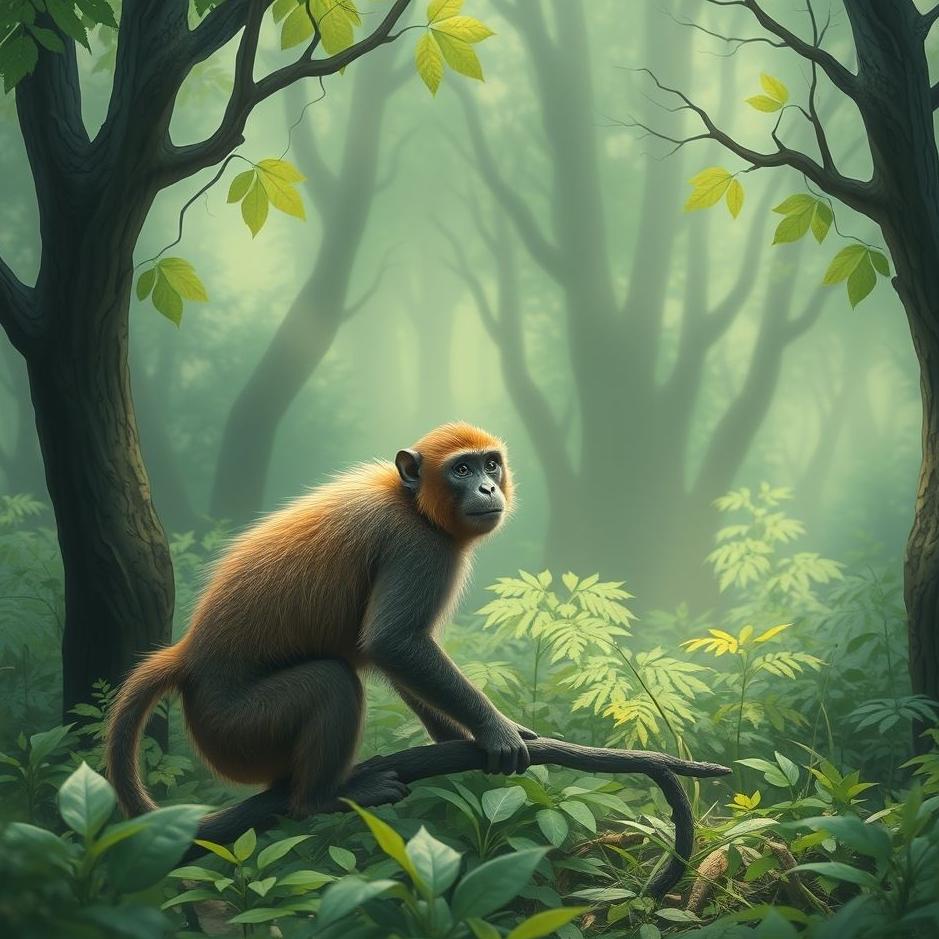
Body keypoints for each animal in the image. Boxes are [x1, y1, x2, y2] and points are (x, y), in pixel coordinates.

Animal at [106, 422, 536, 827]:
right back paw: (319, 799)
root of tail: (188, 655)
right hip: (237, 728)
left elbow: (384, 653)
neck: (412, 502)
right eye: (462, 469)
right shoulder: (417, 546)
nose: (486, 487)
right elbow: (392, 642)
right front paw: (496, 731)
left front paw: (456, 737)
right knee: (331, 682)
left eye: (491, 464)